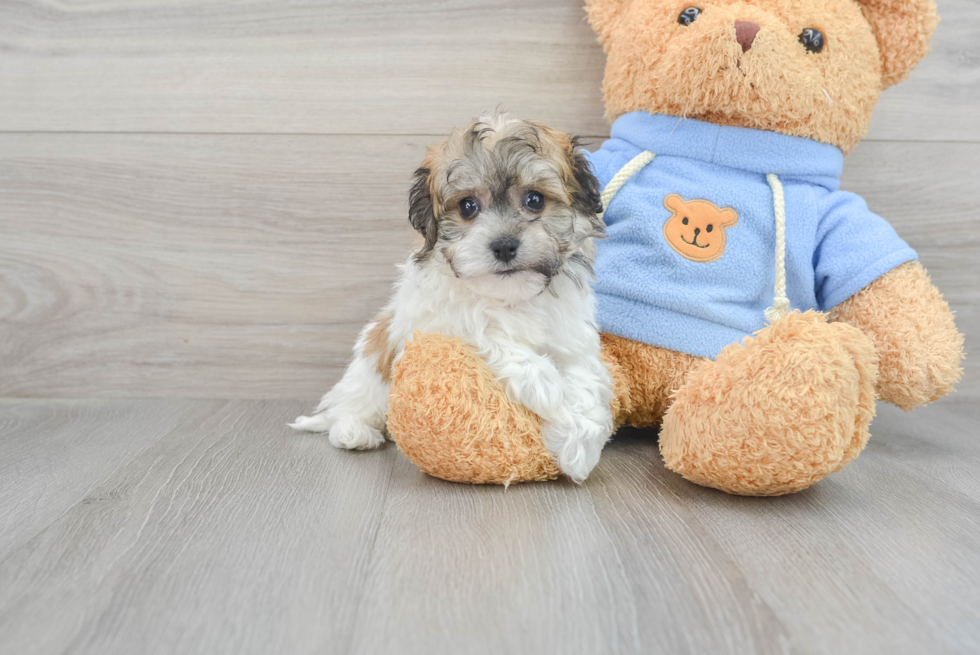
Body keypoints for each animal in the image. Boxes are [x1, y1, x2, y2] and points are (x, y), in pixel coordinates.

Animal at [288, 111, 616, 482]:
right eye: (468, 206)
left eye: (535, 200)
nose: (504, 246)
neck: (509, 297)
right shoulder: (436, 319)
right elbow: (485, 329)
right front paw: (547, 386)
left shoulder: (572, 336)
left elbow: (586, 377)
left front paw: (580, 448)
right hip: (366, 375)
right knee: (351, 406)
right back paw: (353, 431)